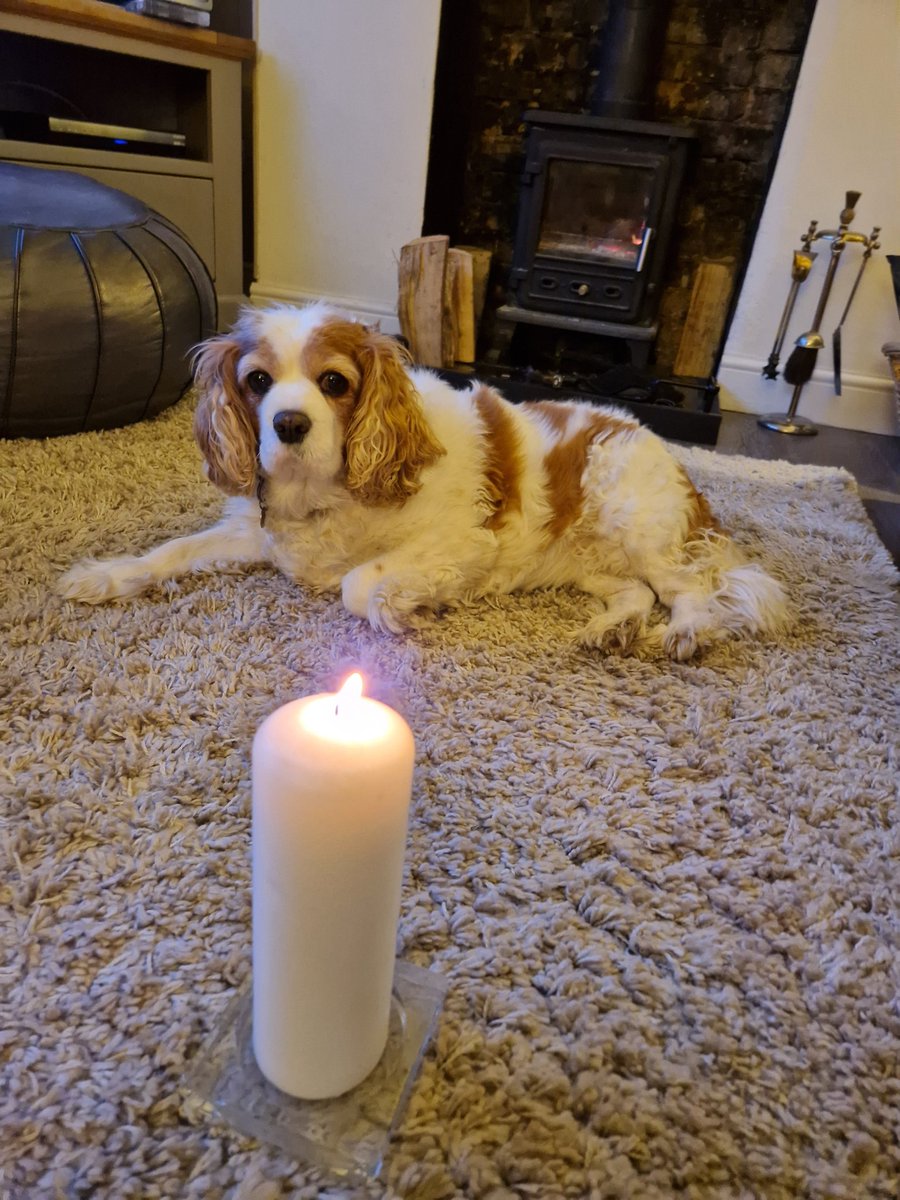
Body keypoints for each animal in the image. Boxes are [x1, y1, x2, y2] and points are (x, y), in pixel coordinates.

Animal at [58, 300, 787, 657]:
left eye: (334, 383)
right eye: (257, 381)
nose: (289, 424)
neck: (330, 486)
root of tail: (656, 440)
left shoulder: (464, 542)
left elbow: (357, 582)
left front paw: (403, 606)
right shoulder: (257, 533)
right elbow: (170, 552)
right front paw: (105, 575)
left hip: (637, 524)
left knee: (695, 590)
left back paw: (685, 633)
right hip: (591, 563)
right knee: (636, 592)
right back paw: (610, 629)